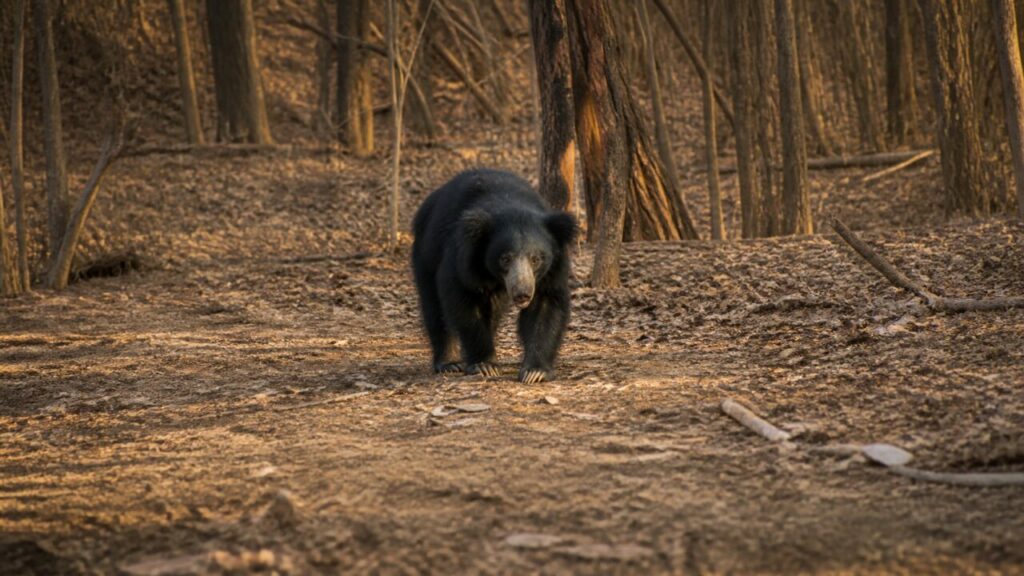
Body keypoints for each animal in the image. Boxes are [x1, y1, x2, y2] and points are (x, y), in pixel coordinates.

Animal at [411, 169, 577, 384]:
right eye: (505, 258)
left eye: (536, 259)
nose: (523, 293)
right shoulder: (463, 260)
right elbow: (465, 304)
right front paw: (485, 365)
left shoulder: (552, 271)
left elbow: (545, 306)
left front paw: (535, 372)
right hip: (426, 254)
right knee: (434, 308)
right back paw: (449, 363)